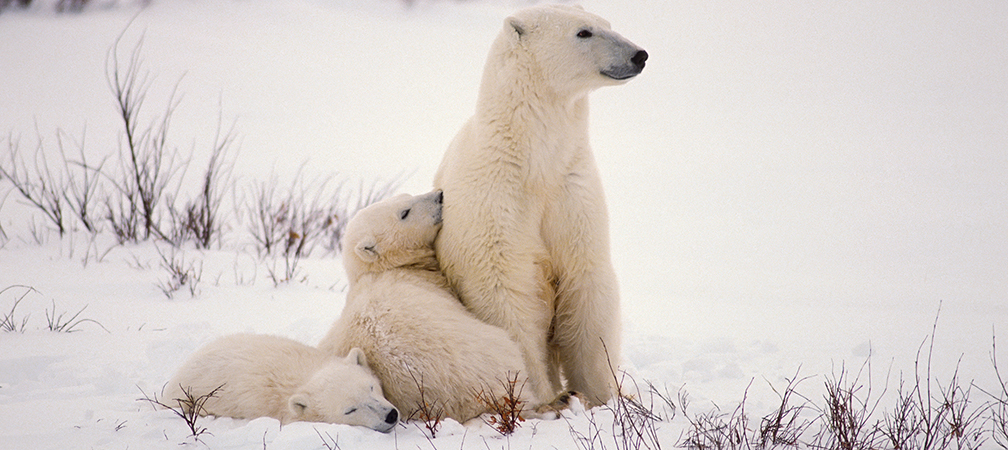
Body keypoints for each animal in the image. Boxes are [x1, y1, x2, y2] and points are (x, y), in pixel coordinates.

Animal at [432, 4, 647, 407]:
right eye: (583, 32)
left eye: (608, 24)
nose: (638, 55)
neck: (535, 164)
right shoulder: (496, 201)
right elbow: (507, 294)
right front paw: (546, 396)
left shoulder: (572, 192)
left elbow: (586, 283)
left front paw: (602, 395)